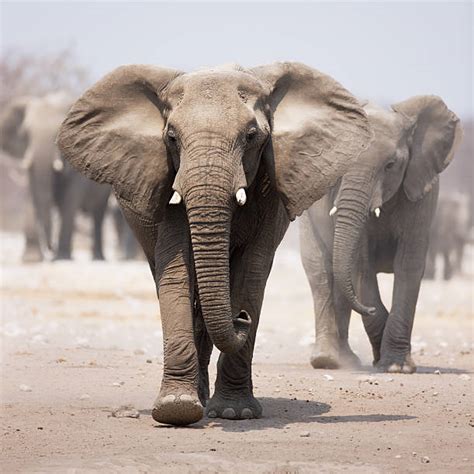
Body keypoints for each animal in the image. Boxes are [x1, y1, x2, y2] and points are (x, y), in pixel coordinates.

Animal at [57, 62, 372, 426]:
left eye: (251, 136)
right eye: (171, 137)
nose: (242, 318)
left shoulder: (270, 188)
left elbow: (253, 269)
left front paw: (235, 412)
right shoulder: (168, 179)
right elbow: (176, 268)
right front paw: (176, 409)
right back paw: (198, 396)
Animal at [302, 96, 462, 374]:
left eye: (390, 165)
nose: (366, 309)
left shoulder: (422, 191)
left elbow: (409, 265)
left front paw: (397, 367)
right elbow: (360, 266)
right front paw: (385, 360)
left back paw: (344, 360)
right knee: (321, 273)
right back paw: (329, 361)